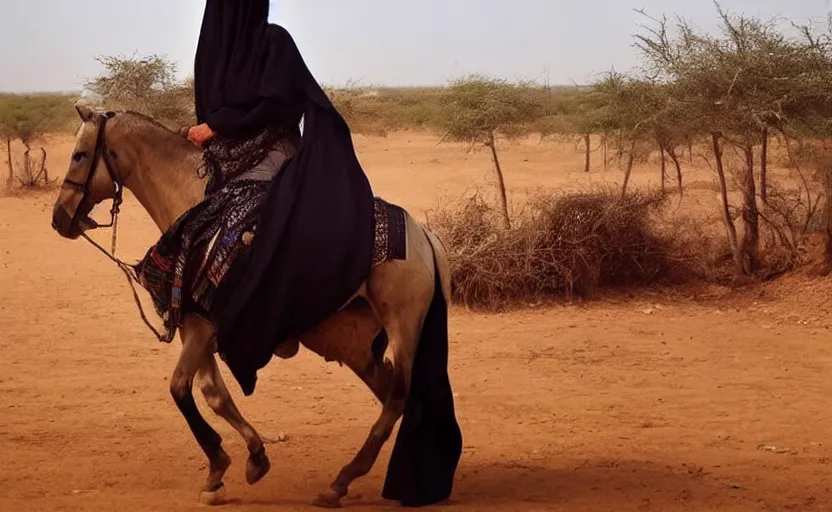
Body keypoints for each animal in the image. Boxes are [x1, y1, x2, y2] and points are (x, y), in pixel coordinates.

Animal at [48, 105, 458, 508]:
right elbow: (213, 394)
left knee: (397, 399)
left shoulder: (203, 327)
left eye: (79, 155)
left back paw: (342, 482)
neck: (194, 204)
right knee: (399, 399)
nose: (60, 218)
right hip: (356, 345)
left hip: (403, 327)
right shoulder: (194, 325)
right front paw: (240, 463)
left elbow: (180, 388)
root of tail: (424, 237)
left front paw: (224, 460)